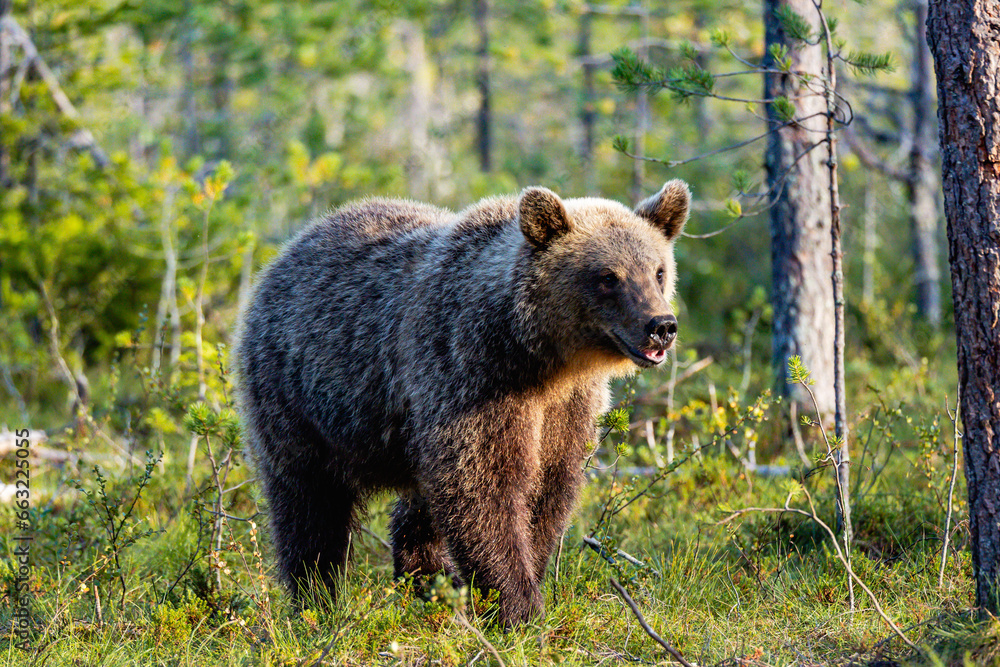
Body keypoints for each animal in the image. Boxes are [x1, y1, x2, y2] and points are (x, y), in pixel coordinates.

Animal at [235, 180, 689, 626]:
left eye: (658, 271)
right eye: (608, 276)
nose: (661, 325)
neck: (540, 357)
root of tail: (288, 251)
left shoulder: (566, 408)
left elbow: (549, 488)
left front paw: (524, 580)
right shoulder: (470, 376)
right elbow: (482, 488)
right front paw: (519, 608)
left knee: (416, 509)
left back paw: (429, 584)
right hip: (298, 397)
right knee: (309, 504)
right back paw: (318, 601)